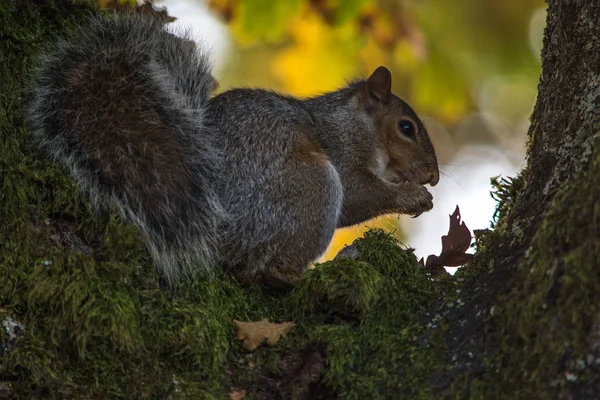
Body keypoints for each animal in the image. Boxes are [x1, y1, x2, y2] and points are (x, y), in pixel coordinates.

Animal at [27, 10, 440, 286]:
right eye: (406, 128)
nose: (434, 177)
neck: (355, 125)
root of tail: (220, 232)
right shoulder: (340, 148)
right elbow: (358, 194)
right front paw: (412, 197)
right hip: (310, 187)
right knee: (268, 269)